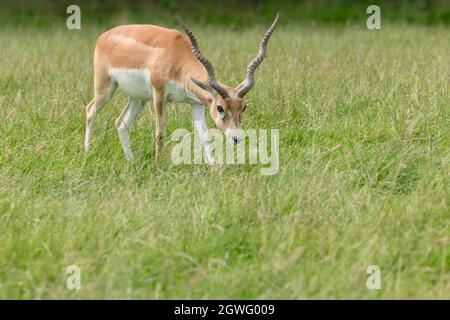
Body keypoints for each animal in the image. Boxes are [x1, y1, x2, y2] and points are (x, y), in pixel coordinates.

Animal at [81, 13, 278, 164]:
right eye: (220, 107)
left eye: (243, 108)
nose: (236, 138)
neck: (177, 57)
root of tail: (103, 36)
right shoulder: (159, 94)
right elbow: (160, 133)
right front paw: (158, 165)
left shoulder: (197, 103)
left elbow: (205, 137)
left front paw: (216, 168)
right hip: (105, 88)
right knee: (90, 110)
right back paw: (87, 152)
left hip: (138, 99)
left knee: (121, 124)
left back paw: (131, 162)